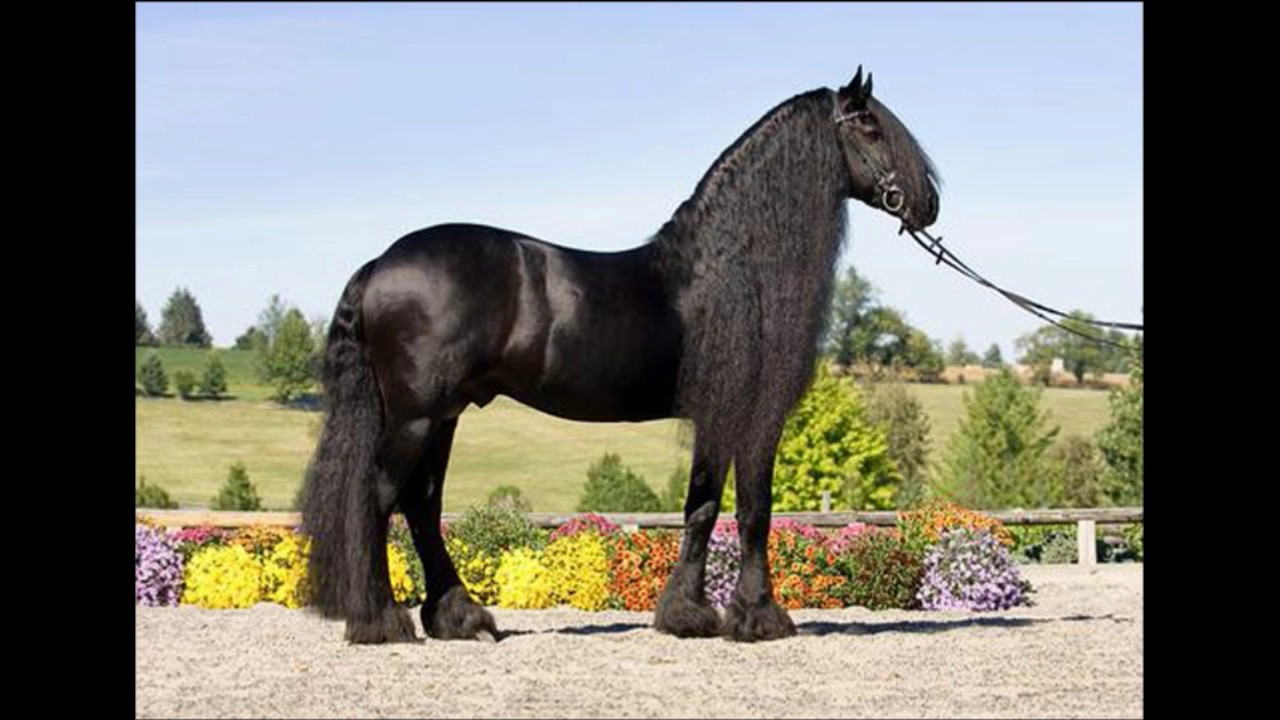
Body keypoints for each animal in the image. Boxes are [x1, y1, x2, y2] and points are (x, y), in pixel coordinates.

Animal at [301, 67, 940, 644]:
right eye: (870, 127)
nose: (929, 203)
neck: (731, 268)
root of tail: (381, 263)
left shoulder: (715, 415)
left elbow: (702, 505)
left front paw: (687, 614)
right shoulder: (752, 413)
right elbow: (753, 506)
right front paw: (759, 618)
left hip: (443, 415)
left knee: (422, 505)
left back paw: (462, 619)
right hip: (416, 415)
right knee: (379, 499)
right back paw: (381, 621)